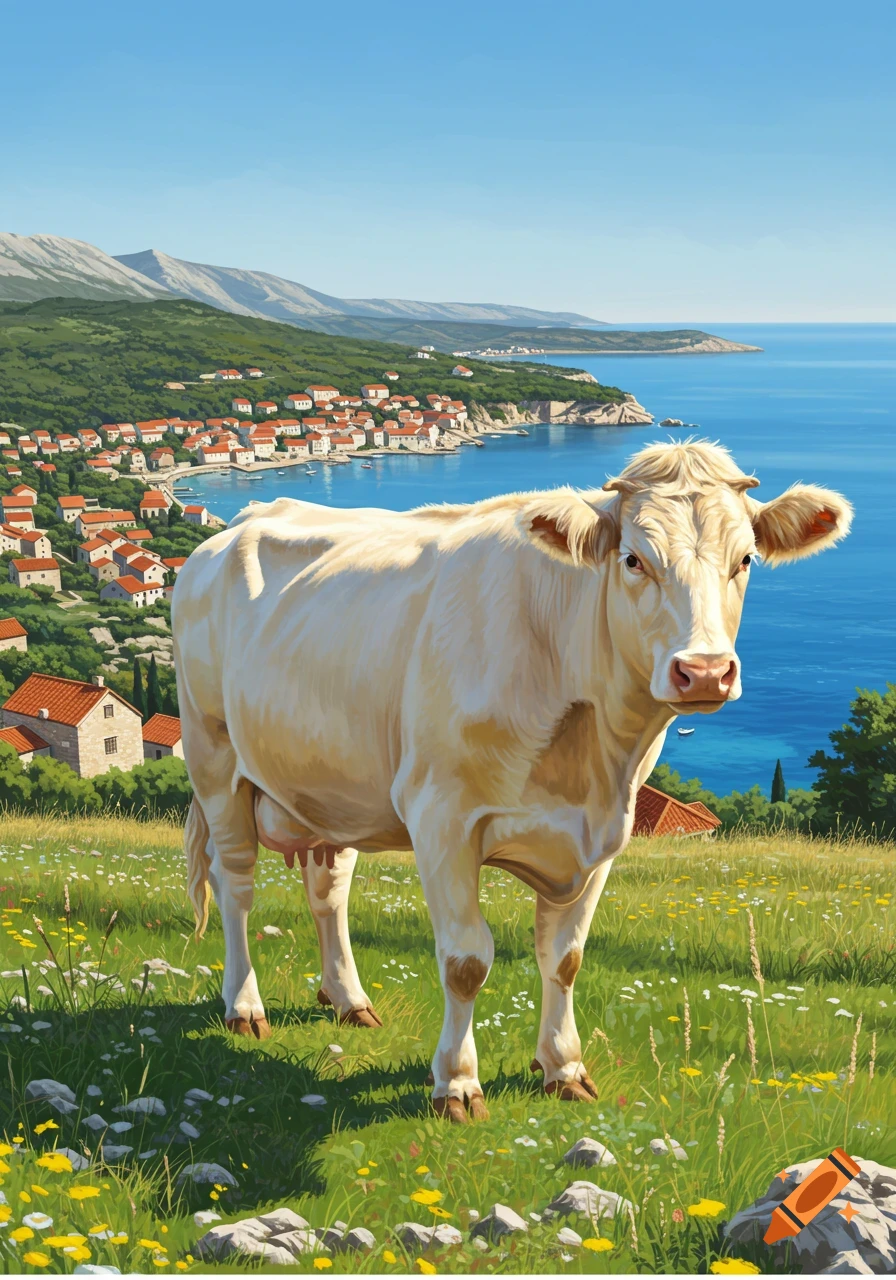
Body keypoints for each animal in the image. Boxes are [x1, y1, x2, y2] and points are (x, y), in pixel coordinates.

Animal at [172, 440, 852, 1122]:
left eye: (745, 559)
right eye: (633, 558)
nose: (705, 671)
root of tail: (237, 525)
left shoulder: (601, 835)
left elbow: (565, 958)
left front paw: (563, 1068)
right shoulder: (441, 819)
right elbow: (465, 961)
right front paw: (457, 1083)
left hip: (330, 788)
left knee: (328, 890)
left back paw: (348, 999)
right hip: (214, 758)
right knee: (236, 885)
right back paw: (244, 1005)